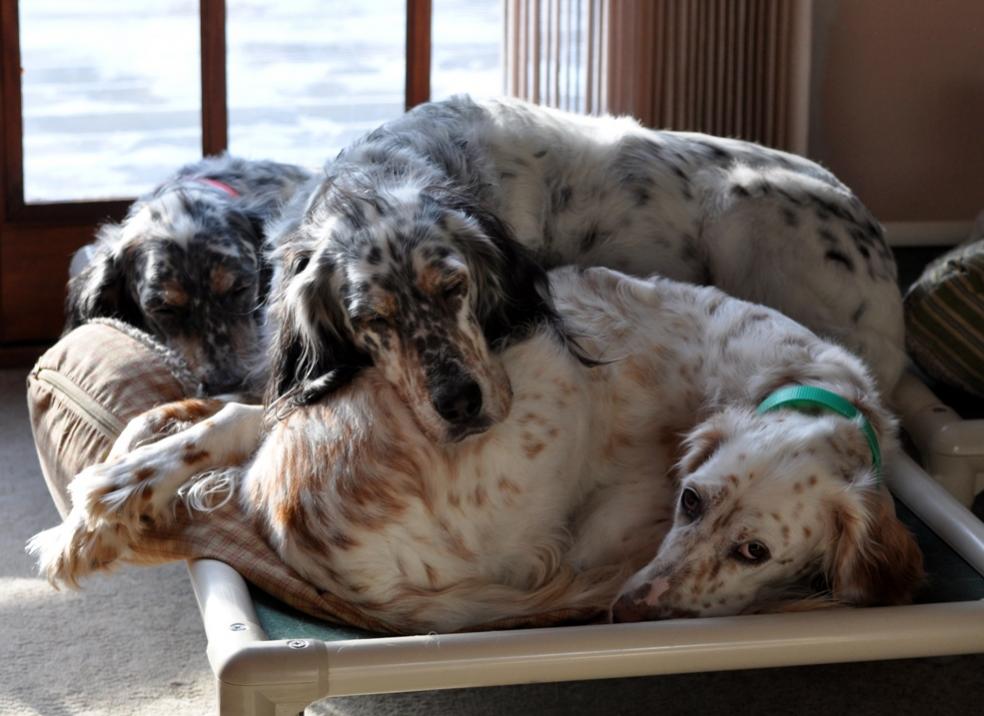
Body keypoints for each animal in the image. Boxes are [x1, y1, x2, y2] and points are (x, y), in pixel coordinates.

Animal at [28, 268, 924, 632]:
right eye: (690, 499)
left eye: (754, 551)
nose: (627, 609)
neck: (804, 383)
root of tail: (294, 516)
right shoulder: (612, 530)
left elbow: (221, 425)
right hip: (551, 379)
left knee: (230, 429)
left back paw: (100, 508)